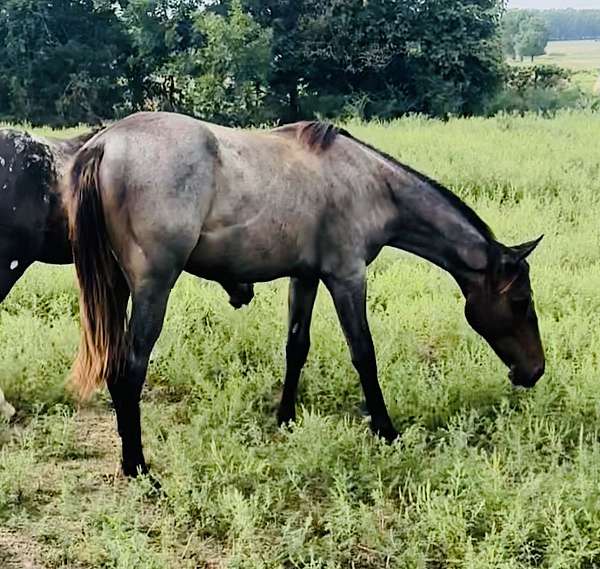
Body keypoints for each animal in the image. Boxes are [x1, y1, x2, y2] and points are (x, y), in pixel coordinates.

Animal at [67, 111, 548, 474]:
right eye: (520, 302)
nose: (535, 371)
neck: (371, 185)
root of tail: (106, 142)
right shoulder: (347, 277)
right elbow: (364, 354)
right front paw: (385, 430)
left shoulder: (306, 277)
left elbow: (296, 346)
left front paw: (285, 418)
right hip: (154, 288)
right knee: (130, 369)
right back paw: (137, 466)